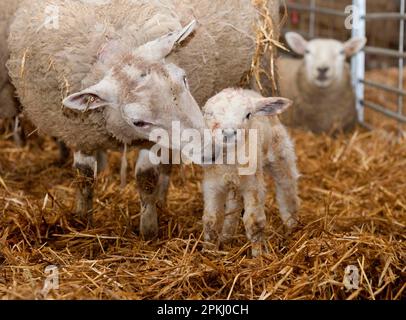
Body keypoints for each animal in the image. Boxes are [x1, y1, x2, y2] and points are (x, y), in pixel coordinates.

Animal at [7, 0, 280, 239]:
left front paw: (148, 229)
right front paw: (82, 220)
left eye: (184, 78)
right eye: (138, 122)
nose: (211, 151)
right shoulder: (79, 130)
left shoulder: (151, 142)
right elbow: (83, 175)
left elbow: (146, 179)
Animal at [202, 89, 300, 256]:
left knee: (287, 186)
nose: (229, 133)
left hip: (280, 153)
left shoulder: (253, 185)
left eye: (248, 115)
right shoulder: (212, 184)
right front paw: (209, 251)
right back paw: (227, 236)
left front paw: (259, 255)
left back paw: (291, 224)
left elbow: (254, 222)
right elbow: (211, 220)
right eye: (210, 114)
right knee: (233, 206)